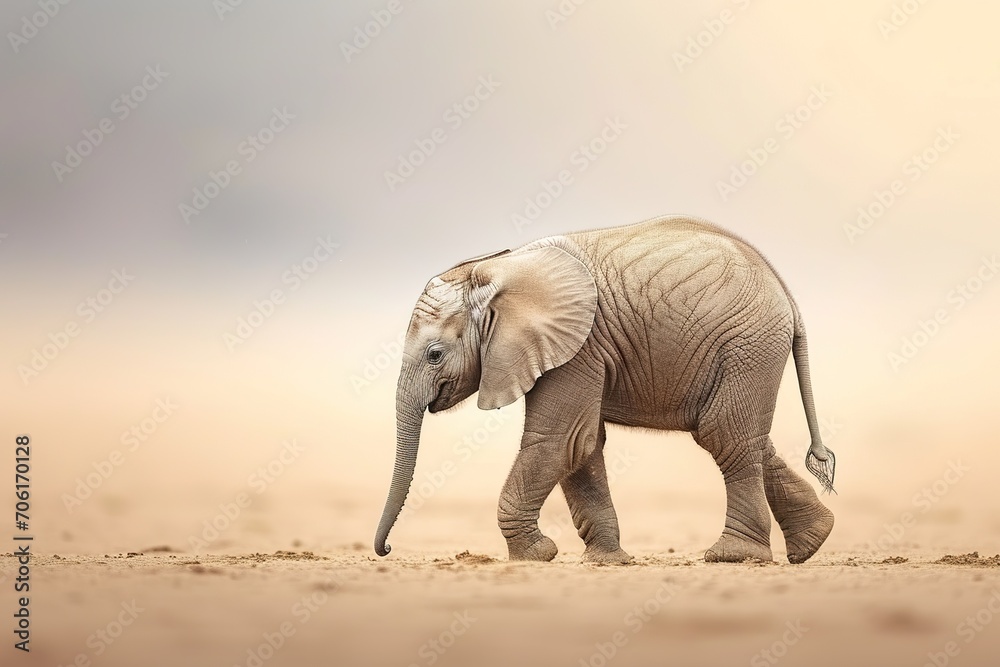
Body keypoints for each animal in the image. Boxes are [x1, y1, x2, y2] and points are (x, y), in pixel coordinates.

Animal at [374, 215, 836, 564]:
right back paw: (812, 543)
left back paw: (733, 556)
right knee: (744, 438)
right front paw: (607, 562)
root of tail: (787, 296)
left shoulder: (579, 346)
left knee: (724, 435)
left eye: (435, 355)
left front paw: (537, 556)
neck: (497, 269)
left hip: (747, 344)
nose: (387, 549)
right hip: (748, 351)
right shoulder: (578, 349)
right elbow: (584, 445)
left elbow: (561, 442)